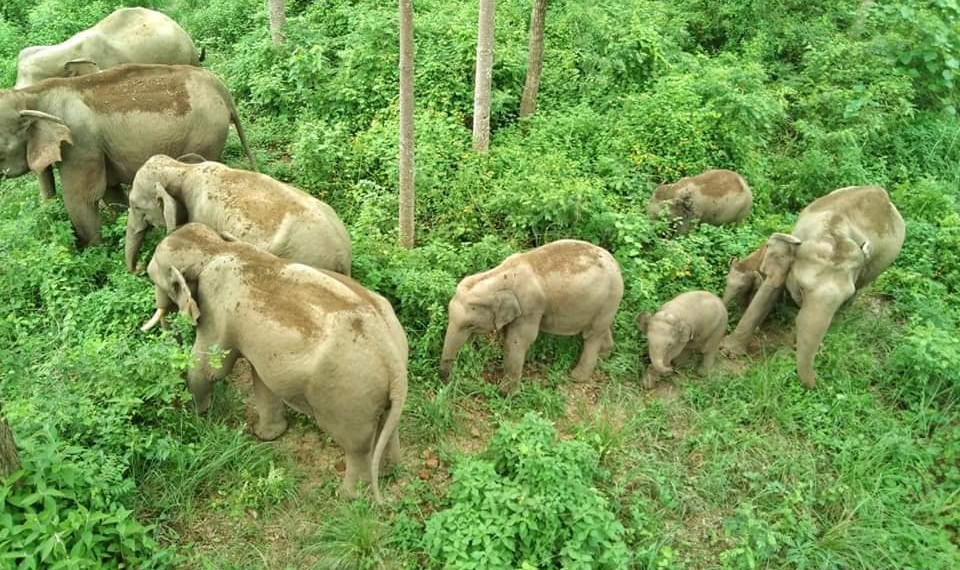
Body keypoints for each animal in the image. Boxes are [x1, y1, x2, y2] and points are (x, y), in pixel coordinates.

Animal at [0, 64, 257, 246]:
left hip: (206, 134)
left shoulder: (81, 143)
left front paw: (97, 256)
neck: (31, 94)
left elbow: (82, 199)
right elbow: (110, 191)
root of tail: (221, 87)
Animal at [141, 223, 408, 502]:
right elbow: (262, 378)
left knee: (356, 444)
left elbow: (210, 368)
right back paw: (388, 473)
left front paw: (198, 416)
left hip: (348, 393)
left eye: (154, 278)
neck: (217, 248)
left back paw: (348, 496)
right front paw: (267, 436)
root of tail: (392, 356)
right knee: (388, 424)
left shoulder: (216, 308)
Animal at [439, 239, 624, 394]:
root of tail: (616, 264)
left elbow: (518, 341)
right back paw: (604, 356)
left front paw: (506, 393)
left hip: (610, 297)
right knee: (600, 330)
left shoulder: (530, 307)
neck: (500, 274)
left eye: (469, 325)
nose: (448, 381)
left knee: (592, 336)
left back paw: (577, 377)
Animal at [722, 186, 905, 388]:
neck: (832, 233)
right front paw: (728, 352)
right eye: (802, 288)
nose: (818, 382)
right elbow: (770, 290)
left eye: (844, 296)